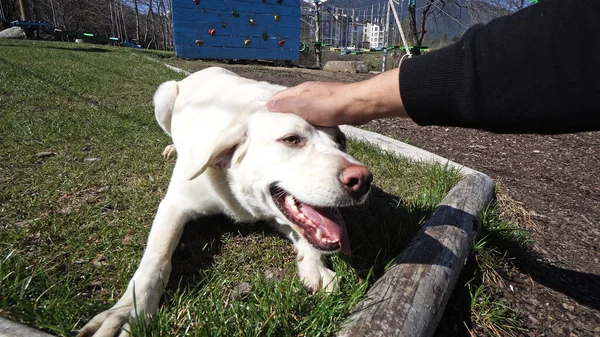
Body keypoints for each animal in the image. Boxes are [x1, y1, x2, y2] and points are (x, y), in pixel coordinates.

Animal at [79, 67, 370, 334]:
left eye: (341, 141)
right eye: (291, 139)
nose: (363, 179)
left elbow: (307, 237)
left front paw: (314, 267)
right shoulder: (175, 204)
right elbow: (155, 260)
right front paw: (127, 311)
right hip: (164, 96)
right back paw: (172, 147)